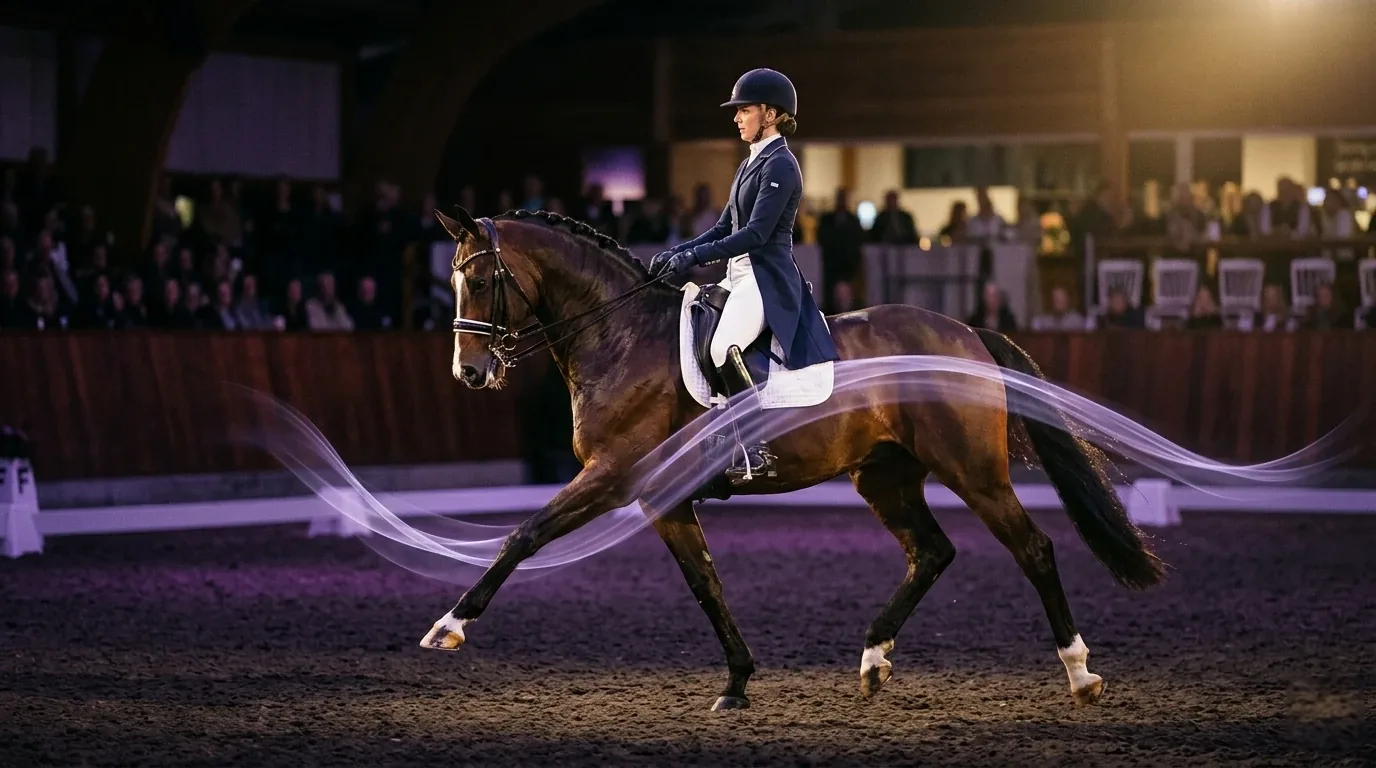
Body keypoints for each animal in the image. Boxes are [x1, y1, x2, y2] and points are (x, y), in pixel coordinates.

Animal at [420, 206, 1165, 711]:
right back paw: (873, 659)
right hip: (884, 476)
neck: (621, 334)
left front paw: (449, 626)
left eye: (480, 280)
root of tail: (966, 332)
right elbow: (706, 584)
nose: (468, 372)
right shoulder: (663, 497)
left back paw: (1080, 673)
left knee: (1032, 548)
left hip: (973, 471)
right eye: (452, 281)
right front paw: (737, 683)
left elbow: (526, 534)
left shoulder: (611, 474)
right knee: (931, 552)